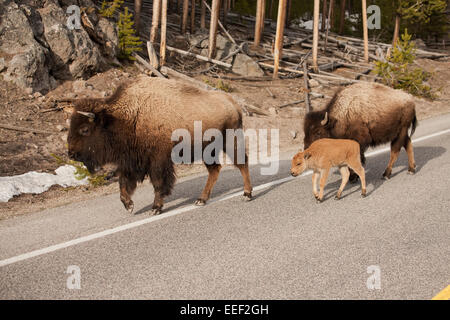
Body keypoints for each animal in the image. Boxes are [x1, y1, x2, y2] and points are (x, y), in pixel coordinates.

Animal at [69, 76, 253, 214]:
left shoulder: (158, 161)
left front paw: (155, 208)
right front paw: (129, 205)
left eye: (85, 129)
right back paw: (201, 199)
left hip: (231, 142)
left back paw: (247, 194)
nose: (71, 154)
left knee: (242, 164)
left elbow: (158, 183)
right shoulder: (131, 161)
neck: (122, 117)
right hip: (208, 150)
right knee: (215, 170)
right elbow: (123, 183)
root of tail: (233, 103)